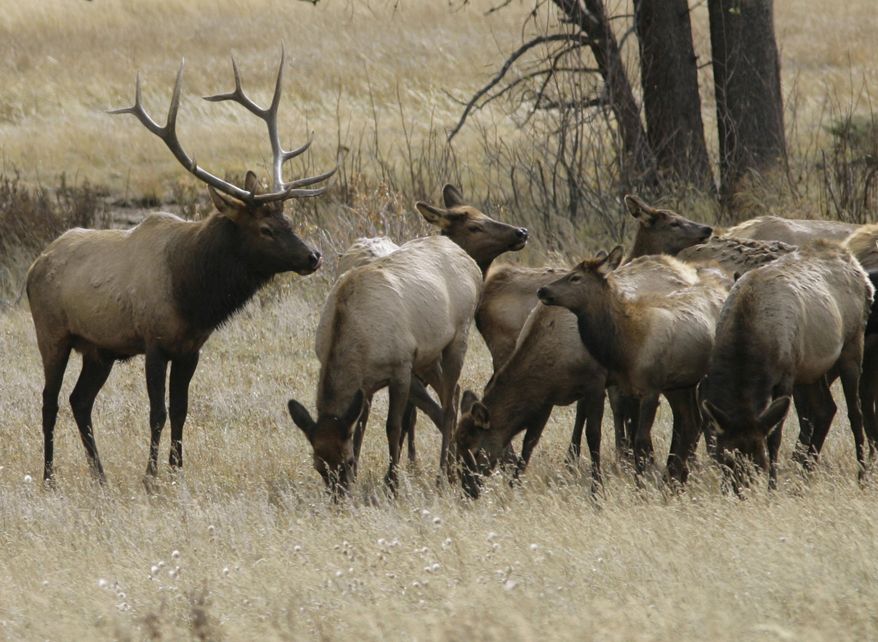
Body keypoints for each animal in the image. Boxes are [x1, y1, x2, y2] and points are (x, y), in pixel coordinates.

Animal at [27, 50, 334, 485]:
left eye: (288, 219)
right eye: (266, 228)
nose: (313, 256)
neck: (192, 295)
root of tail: (35, 265)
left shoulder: (191, 348)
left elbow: (182, 411)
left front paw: (177, 471)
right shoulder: (154, 341)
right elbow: (157, 412)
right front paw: (151, 476)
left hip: (99, 349)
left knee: (79, 400)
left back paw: (100, 475)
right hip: (52, 332)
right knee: (49, 401)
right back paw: (50, 476)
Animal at [287, 235, 482, 493]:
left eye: (347, 462)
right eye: (319, 466)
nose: (339, 496)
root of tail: (472, 263)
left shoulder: (400, 367)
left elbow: (393, 426)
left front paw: (392, 483)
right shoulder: (366, 384)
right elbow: (359, 426)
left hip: (458, 336)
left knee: (449, 406)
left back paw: (444, 475)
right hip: (427, 356)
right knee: (452, 392)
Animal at [700, 242, 873, 492]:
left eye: (759, 462)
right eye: (726, 458)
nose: (740, 491)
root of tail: (856, 265)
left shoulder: (786, 375)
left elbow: (775, 436)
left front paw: (772, 487)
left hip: (851, 344)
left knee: (855, 412)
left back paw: (861, 476)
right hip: (811, 368)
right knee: (826, 408)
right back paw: (805, 476)